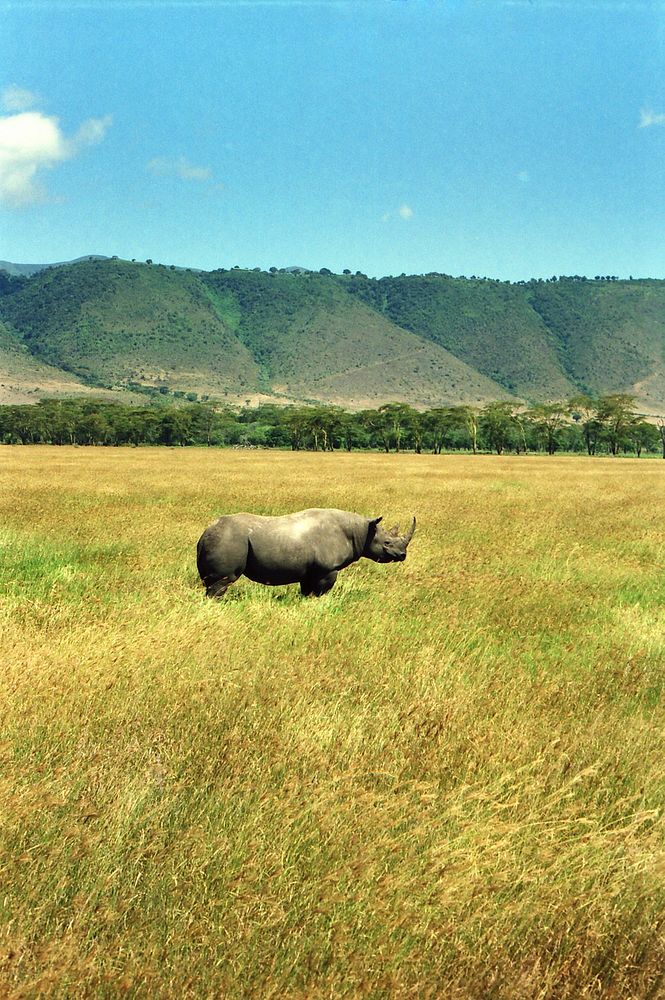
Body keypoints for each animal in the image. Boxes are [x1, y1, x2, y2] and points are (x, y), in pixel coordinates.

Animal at [196, 512, 416, 596]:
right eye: (387, 543)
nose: (402, 555)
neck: (361, 531)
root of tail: (204, 533)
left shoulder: (310, 570)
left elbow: (306, 591)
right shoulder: (327, 569)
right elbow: (321, 591)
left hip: (221, 538)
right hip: (229, 539)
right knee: (222, 582)